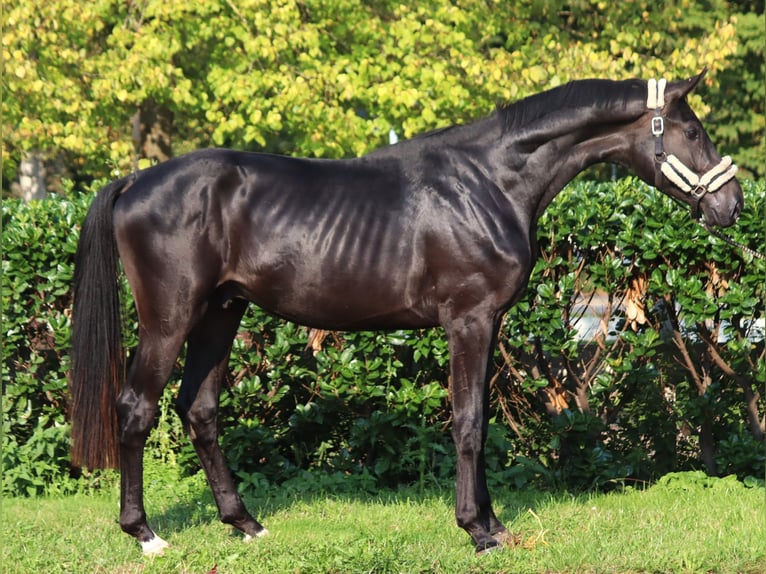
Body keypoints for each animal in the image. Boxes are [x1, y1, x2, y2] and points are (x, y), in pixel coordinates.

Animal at [70, 72, 744, 560]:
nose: (733, 205)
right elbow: (468, 422)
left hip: (221, 313)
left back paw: (245, 523)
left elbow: (479, 419)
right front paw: (479, 530)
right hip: (171, 317)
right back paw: (145, 534)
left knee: (199, 410)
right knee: (137, 408)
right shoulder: (469, 319)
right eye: (692, 132)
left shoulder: (485, 323)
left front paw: (492, 522)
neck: (490, 181)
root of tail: (135, 182)